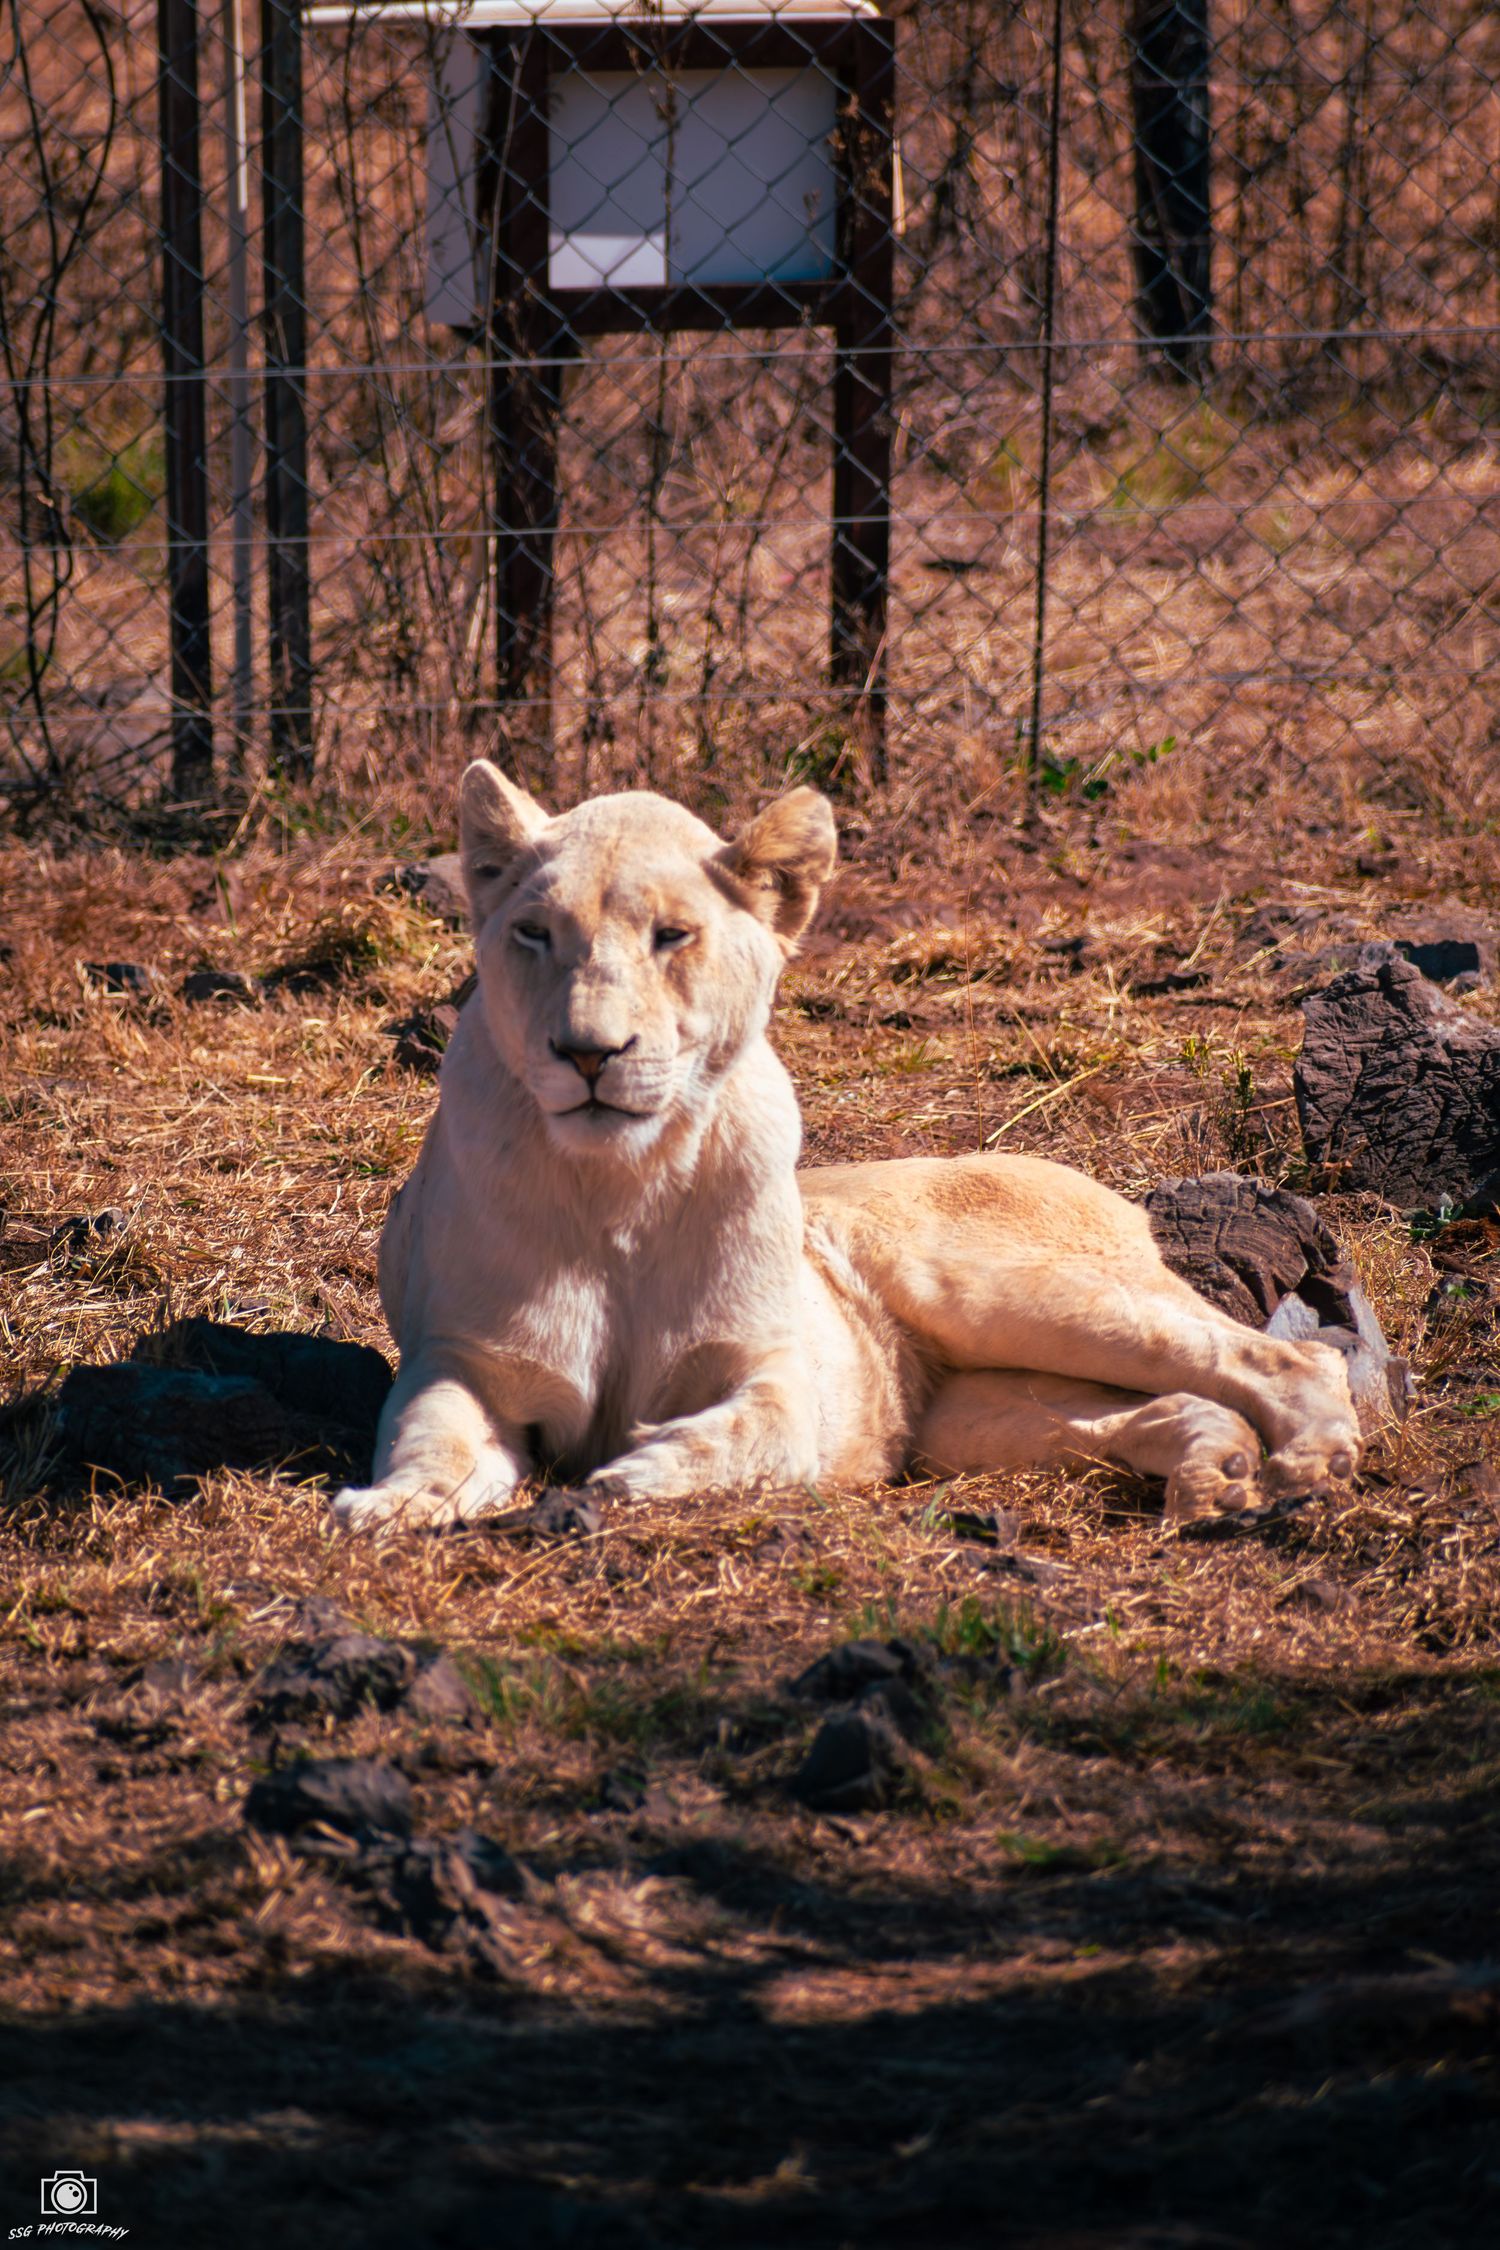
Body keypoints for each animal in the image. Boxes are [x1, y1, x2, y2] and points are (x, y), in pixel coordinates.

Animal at [331, 762, 1361, 1533]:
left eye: (673, 935)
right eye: (534, 933)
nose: (588, 1052)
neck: (623, 1181)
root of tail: (1098, 1186)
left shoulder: (778, 1365)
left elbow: (756, 1434)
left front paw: (630, 1473)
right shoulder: (466, 1357)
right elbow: (431, 1436)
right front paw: (390, 1505)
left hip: (996, 1289)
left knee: (1288, 1362)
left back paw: (1308, 1467)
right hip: (974, 1417)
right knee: (1178, 1403)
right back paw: (1215, 1477)